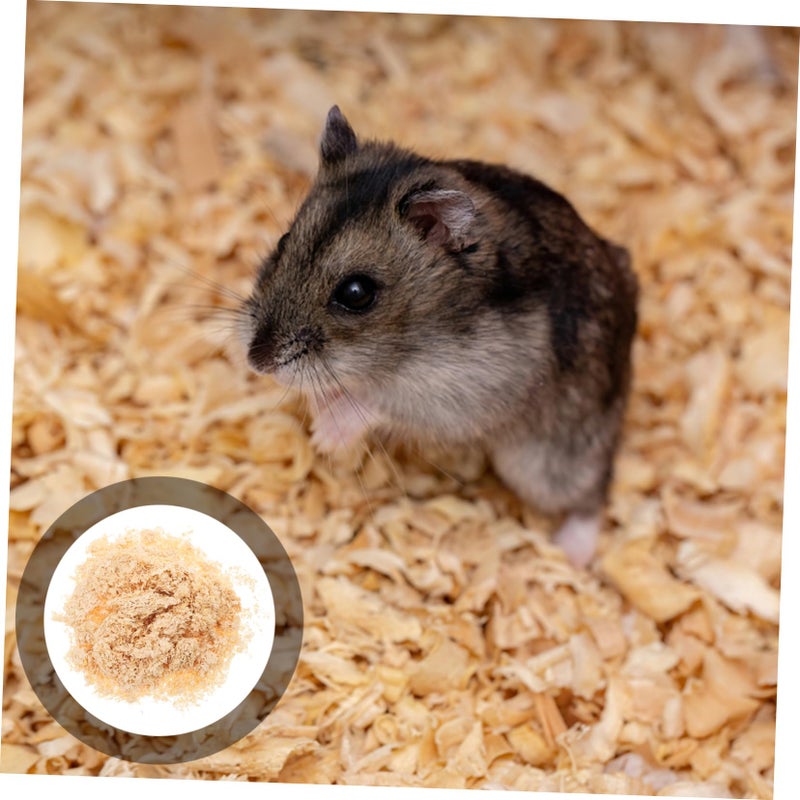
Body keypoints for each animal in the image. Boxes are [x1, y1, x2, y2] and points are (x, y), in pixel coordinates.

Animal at [241, 106, 638, 567]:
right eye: (283, 241)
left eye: (356, 293)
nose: (256, 361)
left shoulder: (463, 389)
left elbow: (377, 401)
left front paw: (325, 436)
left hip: (549, 459)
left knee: (593, 489)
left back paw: (570, 554)